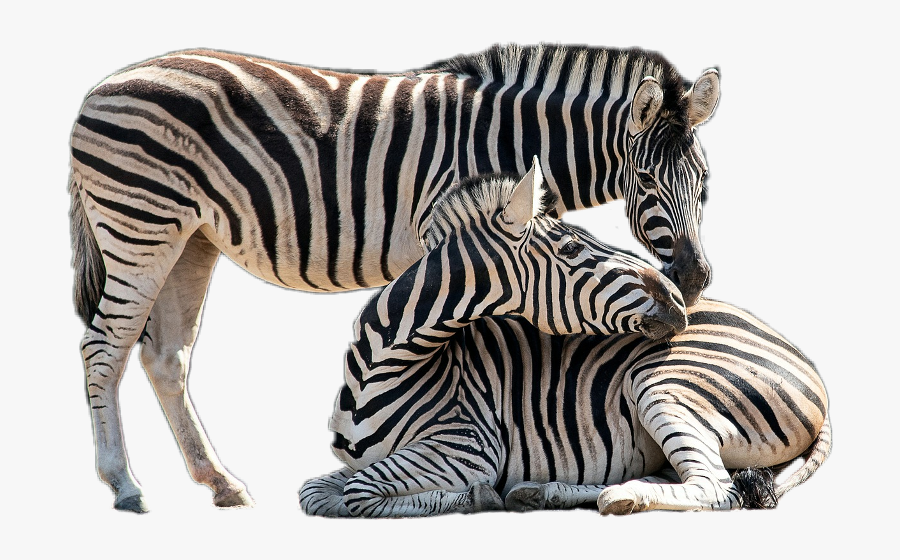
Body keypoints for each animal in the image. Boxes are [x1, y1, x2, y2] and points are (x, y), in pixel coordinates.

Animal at [70, 43, 718, 511]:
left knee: (165, 355)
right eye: (646, 181)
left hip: (191, 238)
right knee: (104, 347)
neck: (511, 137)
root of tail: (101, 86)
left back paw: (219, 482)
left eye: (706, 180)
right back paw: (123, 484)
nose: (693, 279)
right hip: (140, 223)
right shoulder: (447, 231)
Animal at [299, 182, 829, 517]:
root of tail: (812, 368)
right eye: (574, 250)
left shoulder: (467, 447)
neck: (382, 365)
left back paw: (616, 498)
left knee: (716, 488)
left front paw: (478, 497)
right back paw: (546, 492)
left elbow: (357, 492)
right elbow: (316, 491)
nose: (681, 299)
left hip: (661, 383)